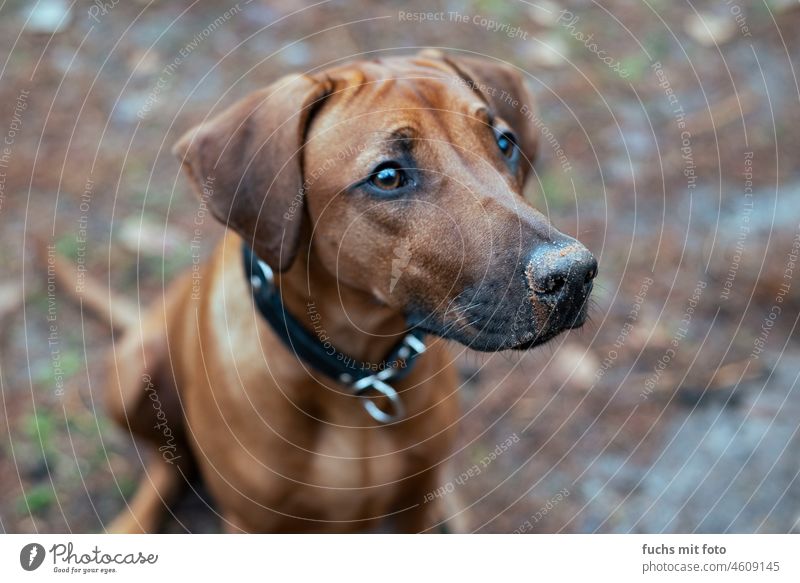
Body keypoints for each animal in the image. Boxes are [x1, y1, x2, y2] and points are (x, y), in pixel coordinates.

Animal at [104, 50, 592, 532]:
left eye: (505, 143)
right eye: (388, 176)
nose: (574, 273)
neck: (360, 373)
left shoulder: (415, 506)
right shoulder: (250, 521)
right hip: (130, 372)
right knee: (169, 461)